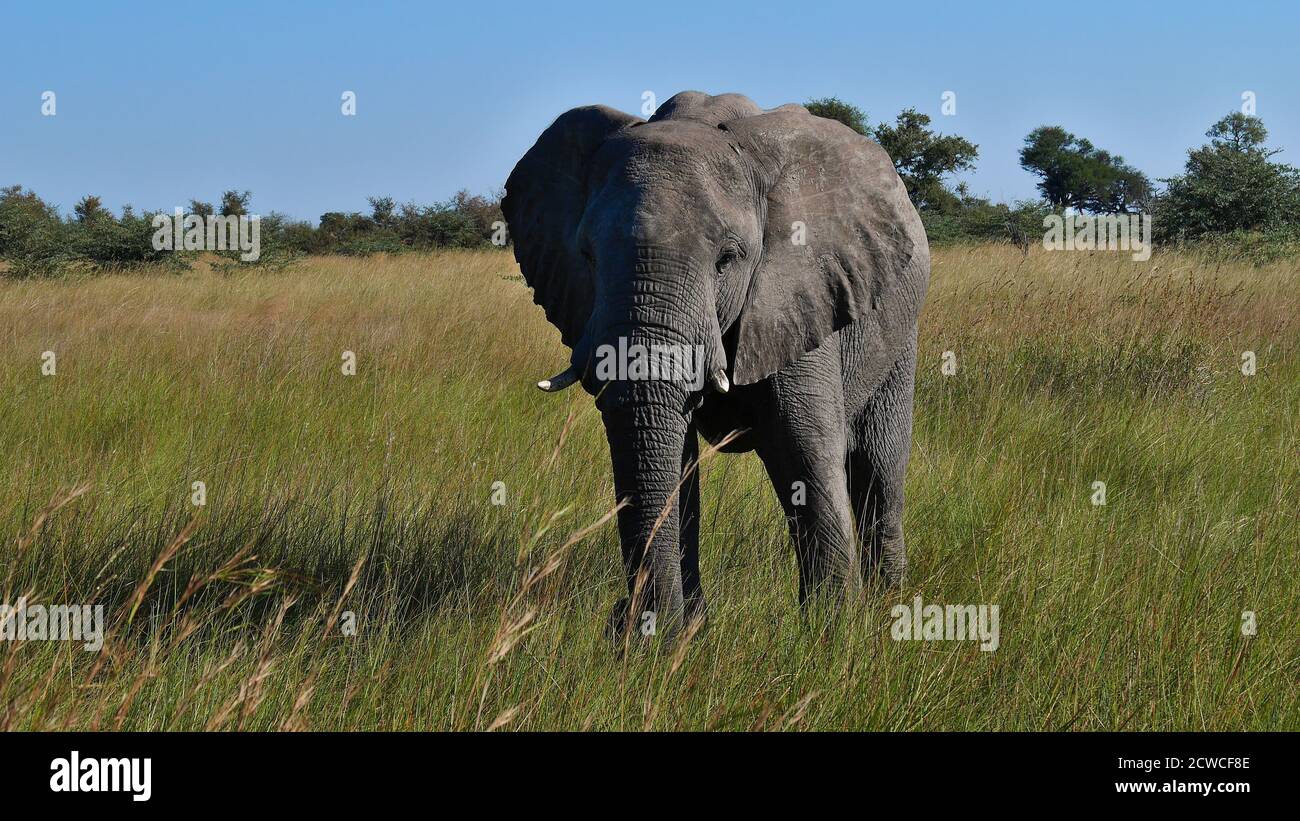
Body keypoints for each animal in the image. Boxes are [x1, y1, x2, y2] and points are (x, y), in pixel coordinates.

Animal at [501, 91, 930, 641]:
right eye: (587, 256)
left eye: (728, 259)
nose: (624, 621)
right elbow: (672, 460)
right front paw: (684, 634)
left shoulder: (797, 291)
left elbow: (804, 449)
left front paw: (831, 635)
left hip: (901, 325)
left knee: (880, 466)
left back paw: (889, 600)